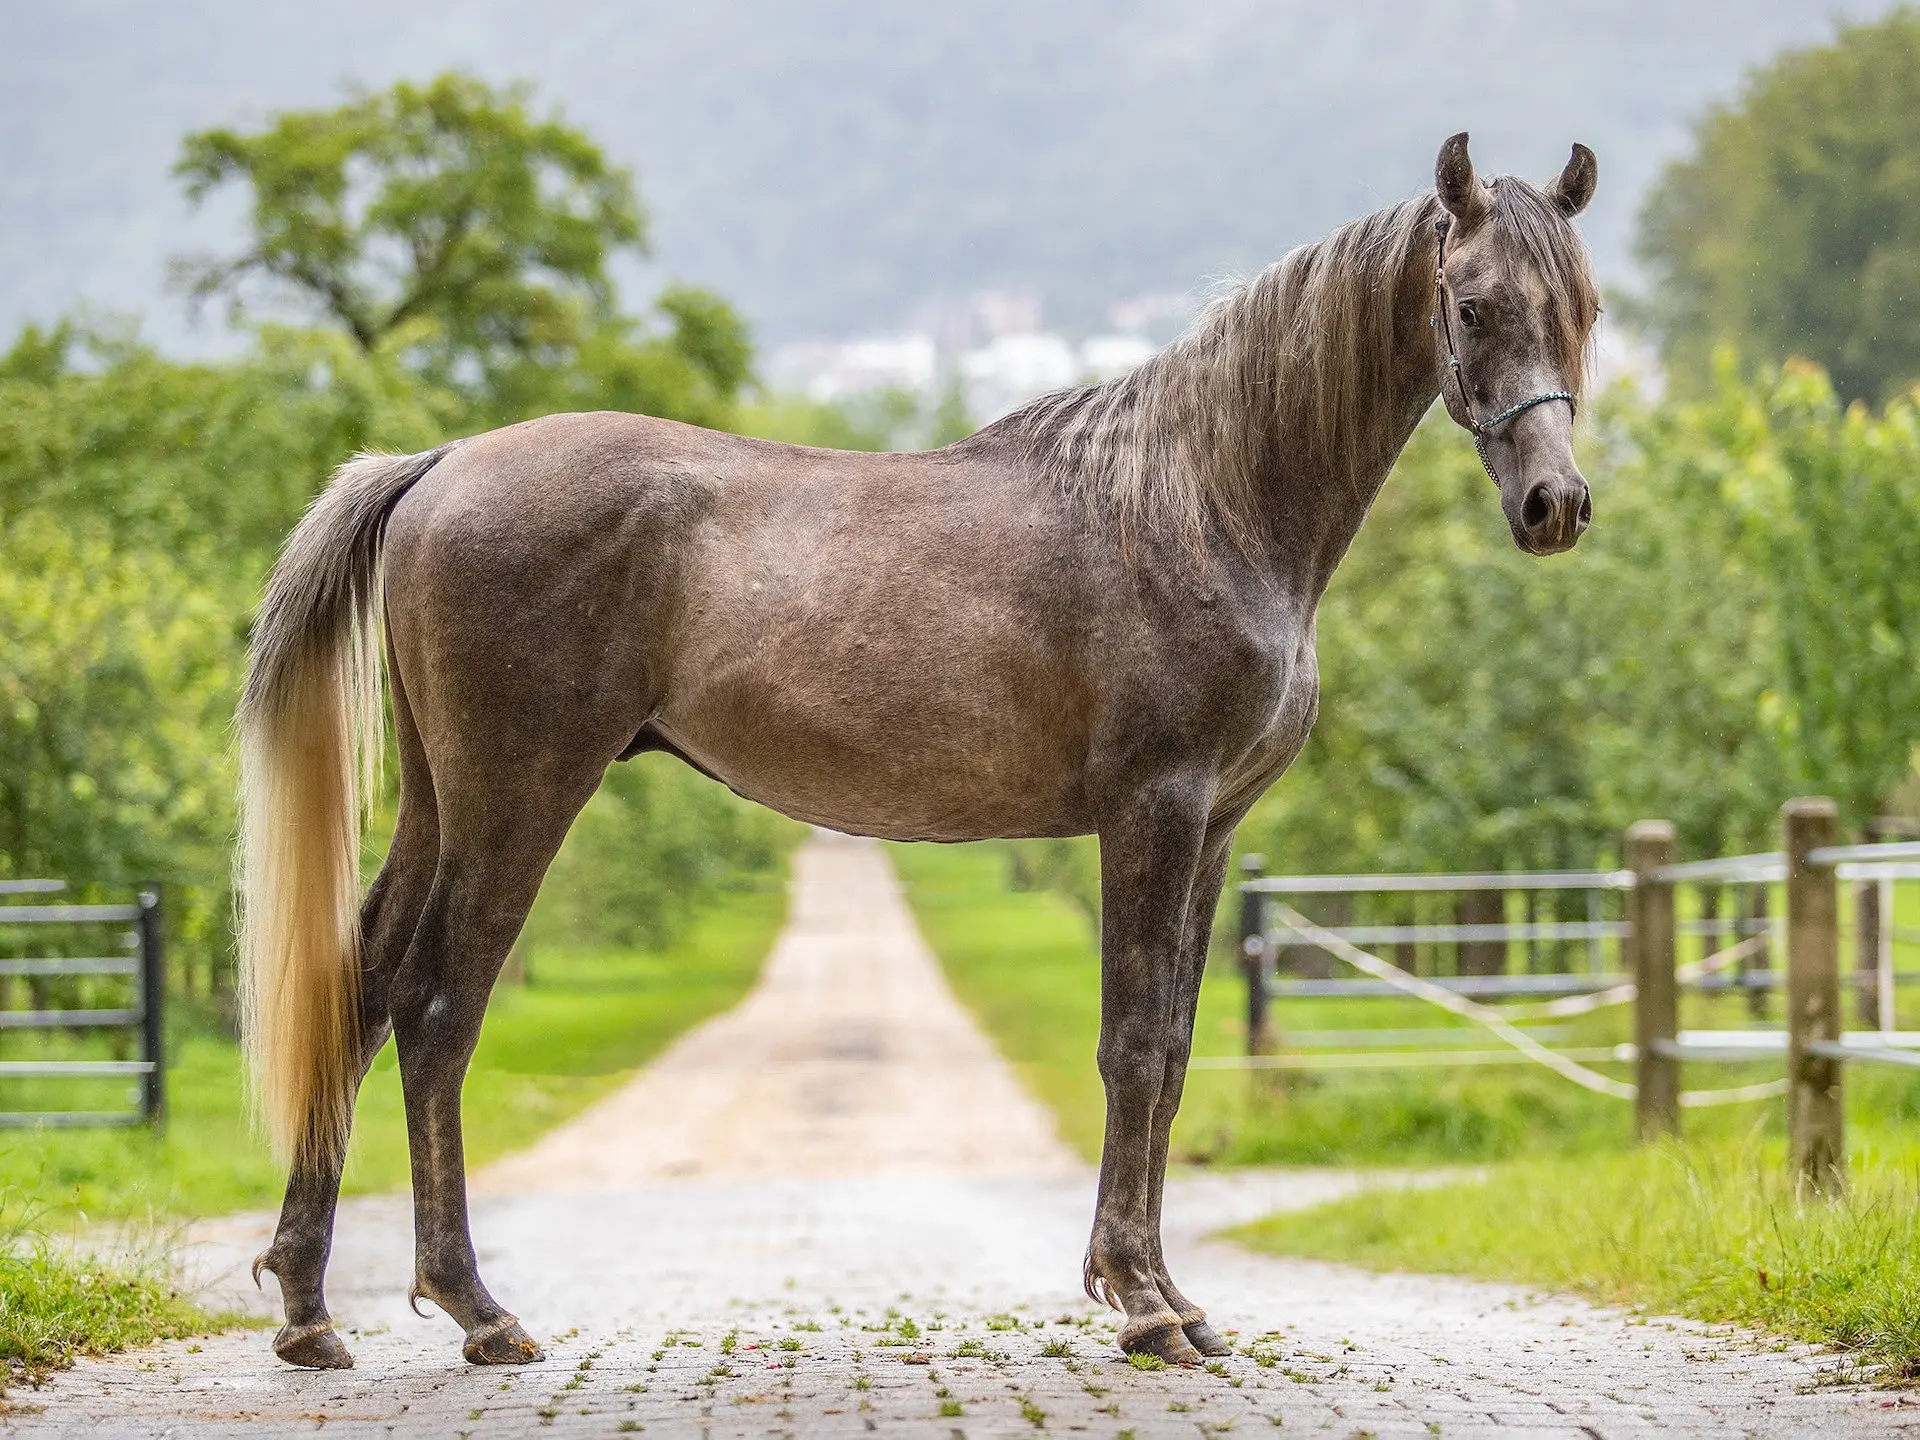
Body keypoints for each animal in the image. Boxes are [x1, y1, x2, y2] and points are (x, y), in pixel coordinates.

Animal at [232, 135, 1597, 1374]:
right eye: (1472, 305)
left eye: (1583, 309)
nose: (1557, 507)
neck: (1201, 500)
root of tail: (440, 463)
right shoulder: (1151, 814)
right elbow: (1132, 1047)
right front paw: (1141, 1305)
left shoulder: (1214, 831)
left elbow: (1171, 1052)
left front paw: (1174, 1297)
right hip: (518, 797)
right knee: (437, 1009)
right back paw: (477, 1311)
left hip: (439, 799)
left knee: (361, 985)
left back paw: (308, 1310)